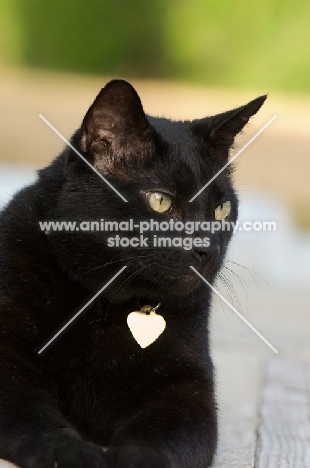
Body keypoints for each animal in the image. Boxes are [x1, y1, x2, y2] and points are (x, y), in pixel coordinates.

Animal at [0, 80, 266, 468]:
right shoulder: (9, 364)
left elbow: (160, 436)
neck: (105, 302)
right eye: (160, 201)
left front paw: (133, 457)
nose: (208, 249)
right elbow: (37, 421)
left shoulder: (186, 389)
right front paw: (71, 451)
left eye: (222, 209)